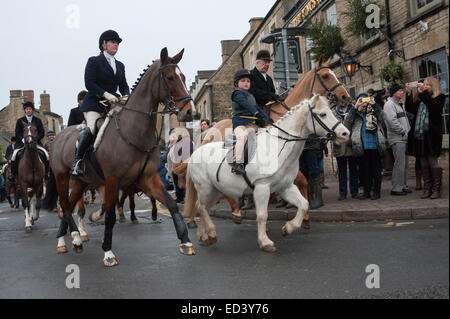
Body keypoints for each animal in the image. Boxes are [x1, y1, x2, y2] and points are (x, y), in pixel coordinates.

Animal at [43, 47, 196, 268]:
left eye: (183, 77)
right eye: (170, 77)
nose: (190, 112)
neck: (133, 131)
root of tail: (57, 139)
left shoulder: (148, 178)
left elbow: (172, 203)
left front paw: (185, 241)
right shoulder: (112, 180)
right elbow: (110, 215)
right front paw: (108, 252)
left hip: (81, 182)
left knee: (69, 205)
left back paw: (66, 241)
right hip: (62, 177)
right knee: (64, 205)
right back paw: (75, 238)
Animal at [181, 57, 350, 228]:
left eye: (333, 73)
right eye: (325, 76)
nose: (346, 97)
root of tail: (208, 132)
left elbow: (303, 181)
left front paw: (303, 215)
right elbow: (301, 180)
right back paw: (233, 211)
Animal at [185, 95, 350, 252]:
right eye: (322, 114)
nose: (345, 133)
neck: (279, 145)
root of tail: (196, 152)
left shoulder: (285, 187)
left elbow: (304, 204)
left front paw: (288, 228)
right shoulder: (262, 187)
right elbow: (262, 215)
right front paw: (265, 242)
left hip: (215, 191)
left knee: (202, 207)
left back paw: (204, 237)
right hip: (206, 188)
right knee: (202, 208)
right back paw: (211, 233)